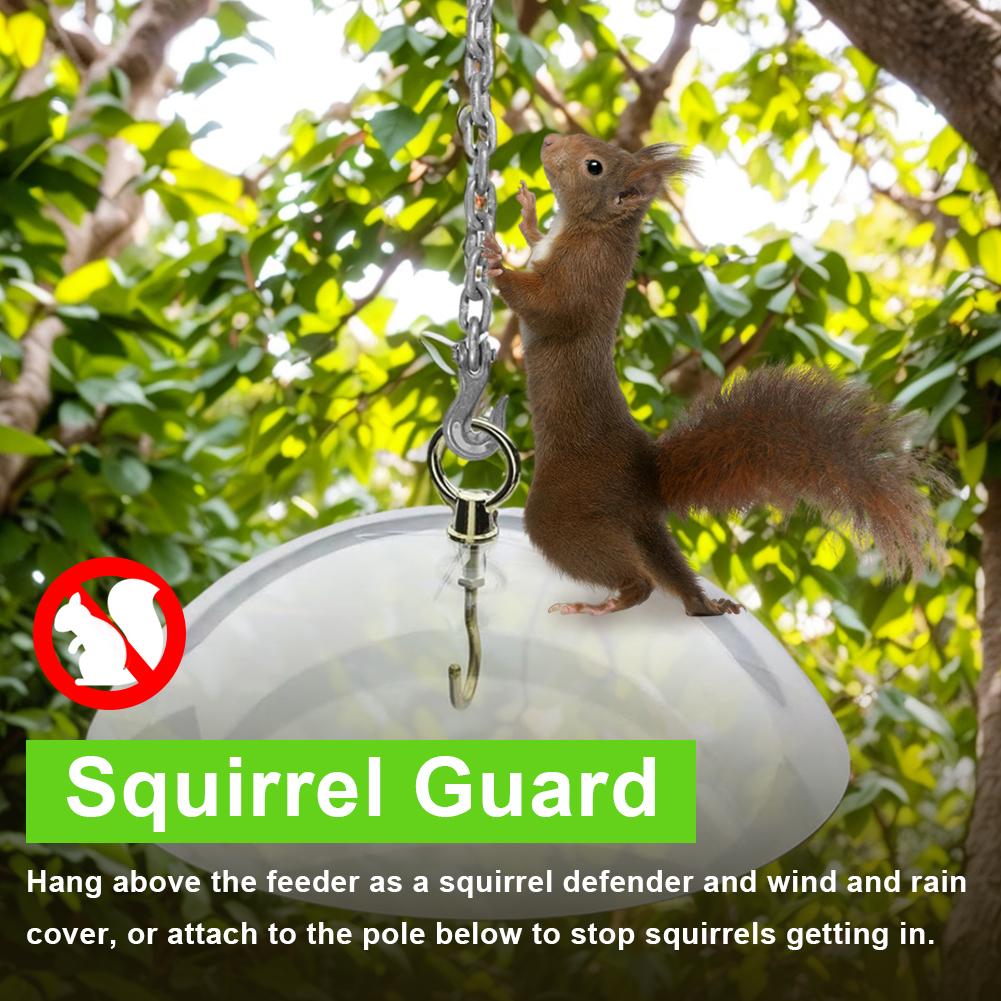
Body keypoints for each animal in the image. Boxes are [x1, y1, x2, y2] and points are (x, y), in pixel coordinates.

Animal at [482, 132, 942, 617]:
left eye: (594, 165)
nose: (550, 140)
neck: (593, 227)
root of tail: (647, 475)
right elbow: (535, 242)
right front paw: (529, 212)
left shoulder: (582, 279)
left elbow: (547, 308)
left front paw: (495, 259)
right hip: (637, 524)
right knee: (670, 571)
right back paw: (705, 604)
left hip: (567, 506)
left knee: (637, 579)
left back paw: (601, 605)